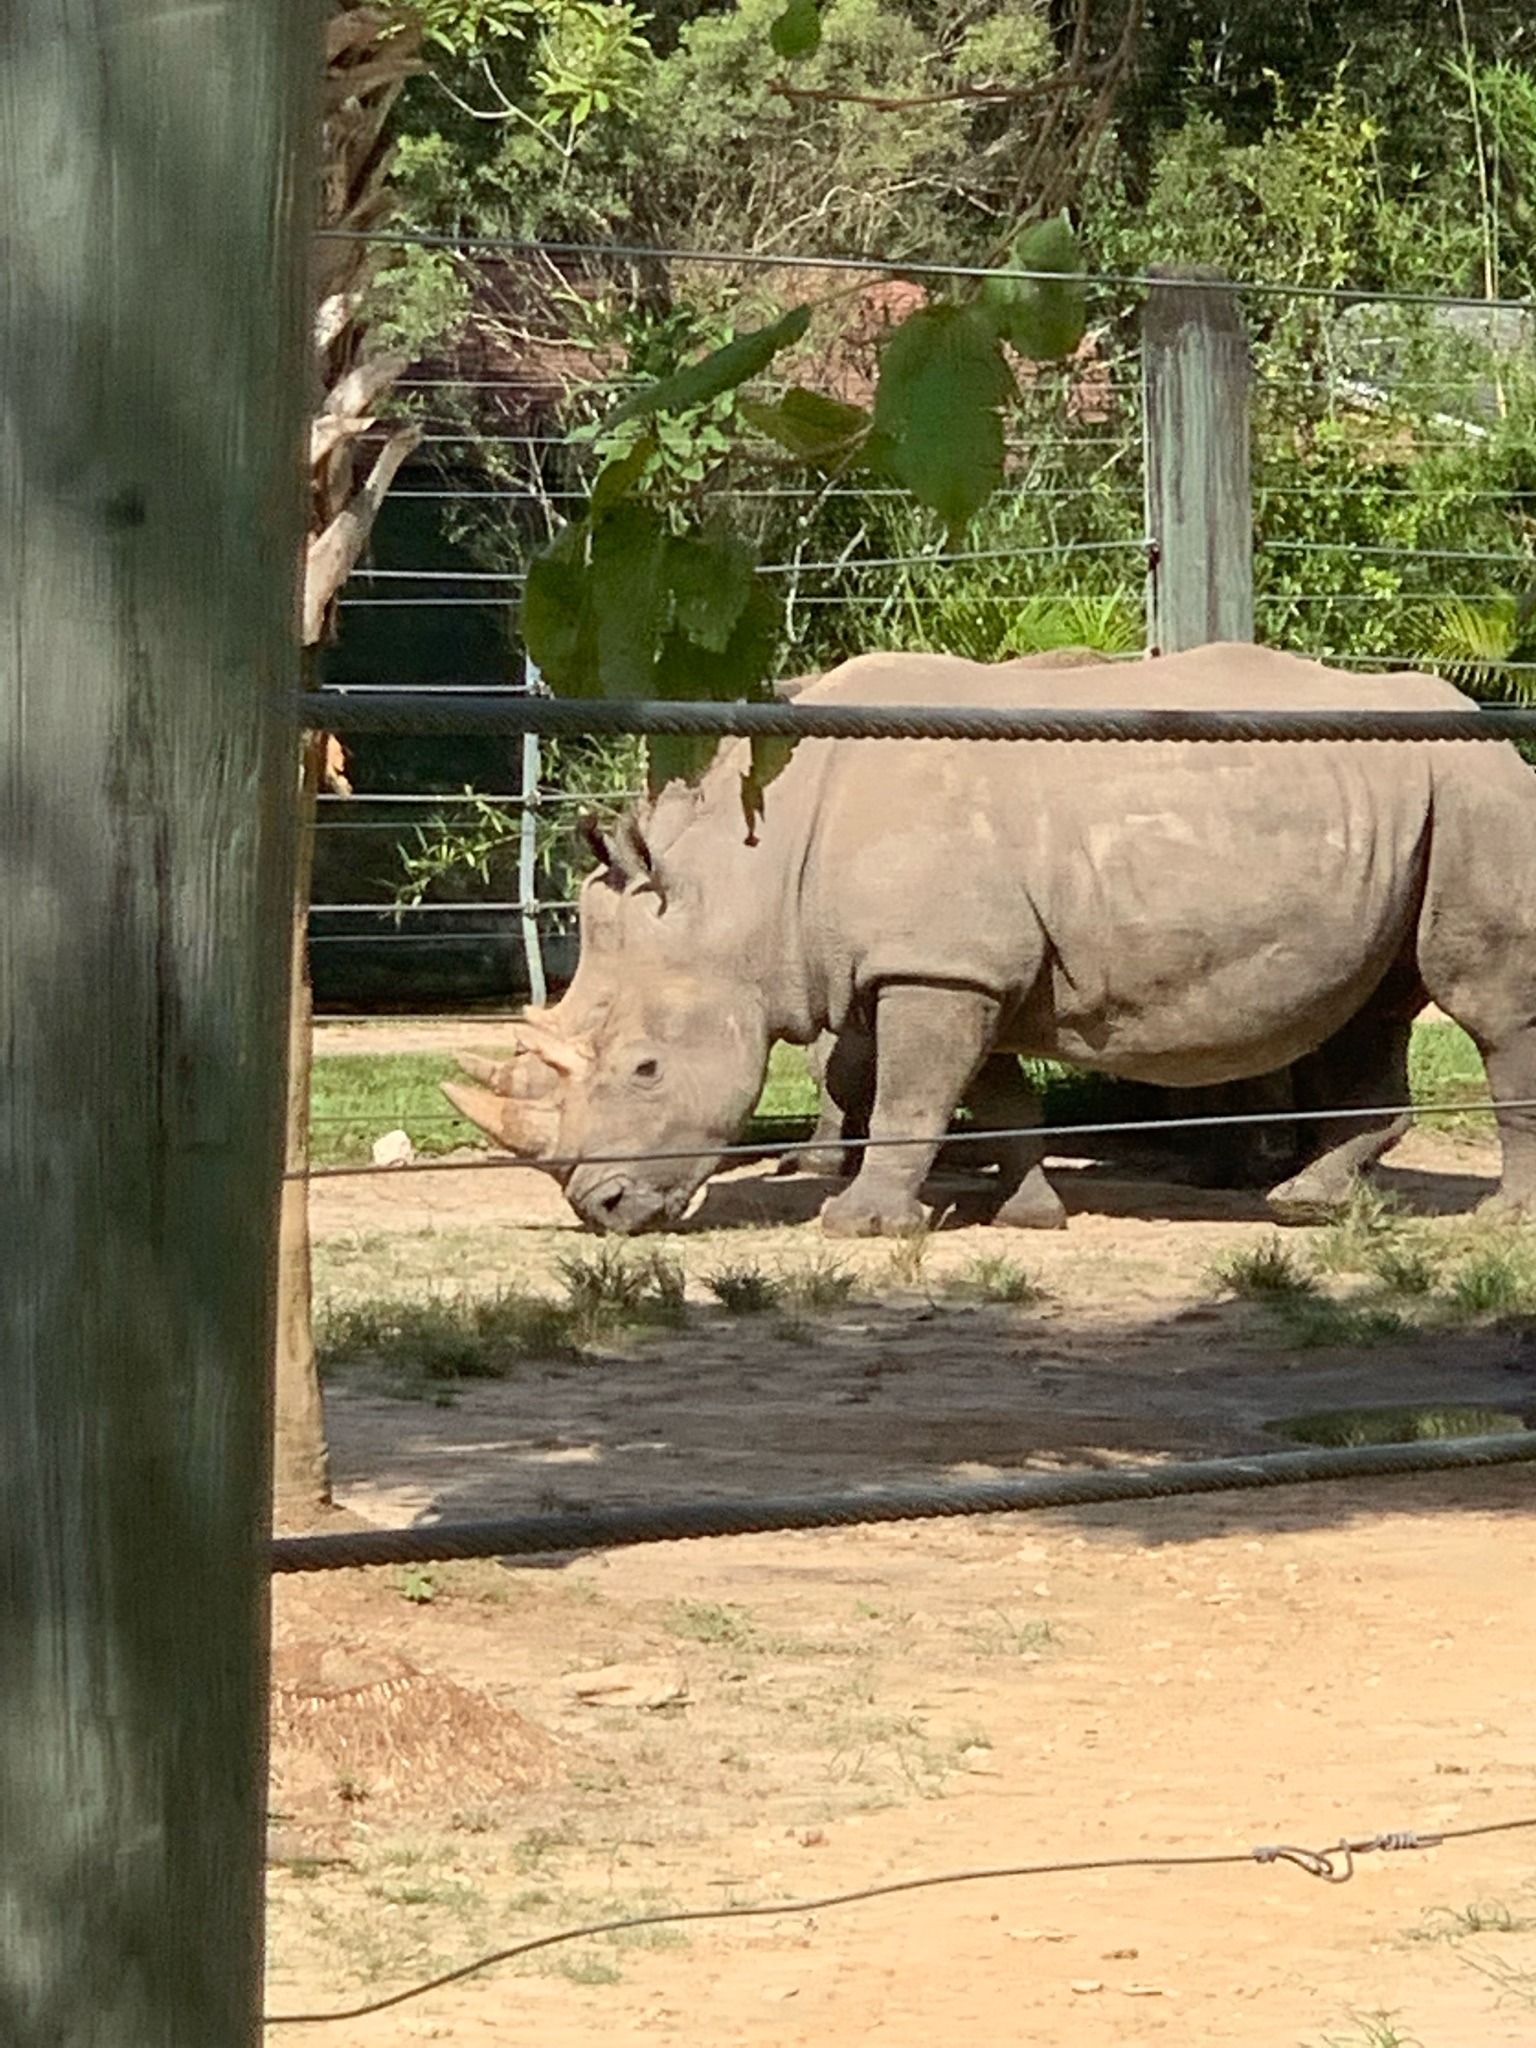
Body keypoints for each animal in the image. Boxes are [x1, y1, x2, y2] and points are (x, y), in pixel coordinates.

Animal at [444, 643, 1536, 1236]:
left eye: (645, 1069)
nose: (603, 1212)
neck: (744, 877)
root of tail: (1493, 729)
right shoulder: (951, 961)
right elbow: (984, 1093)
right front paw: (1030, 1212)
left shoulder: (940, 966)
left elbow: (908, 1091)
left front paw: (858, 1225)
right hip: (1414, 808)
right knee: (1374, 1008)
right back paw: (1306, 1204)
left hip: (1473, 791)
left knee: (1484, 1004)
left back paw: (1498, 1220)